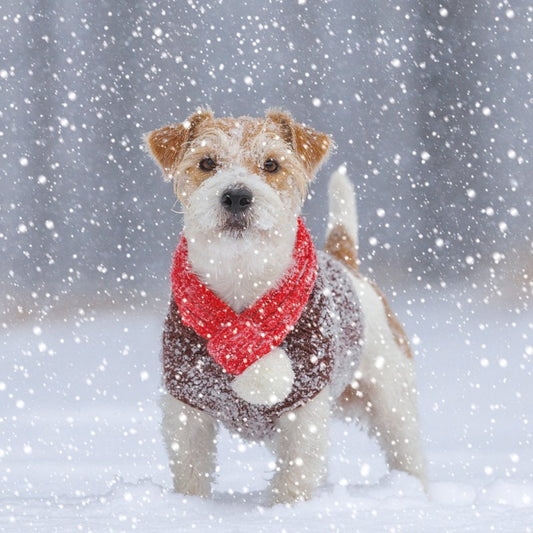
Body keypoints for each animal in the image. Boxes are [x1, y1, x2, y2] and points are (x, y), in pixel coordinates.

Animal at [143, 108, 426, 502]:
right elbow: (191, 471)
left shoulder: (303, 408)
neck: (243, 278)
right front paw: (188, 506)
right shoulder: (186, 407)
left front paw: (285, 508)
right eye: (206, 162)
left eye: (272, 164)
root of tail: (344, 260)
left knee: (409, 452)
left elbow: (295, 473)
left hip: (391, 397)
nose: (237, 196)